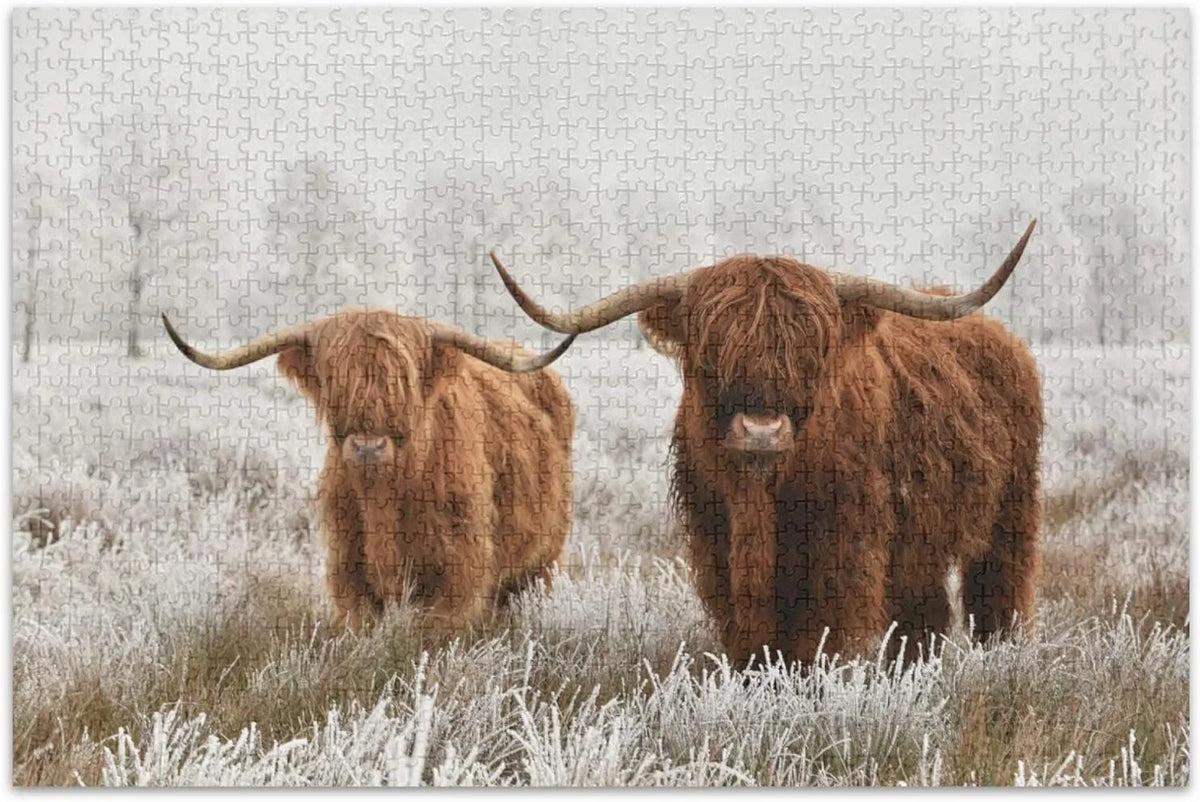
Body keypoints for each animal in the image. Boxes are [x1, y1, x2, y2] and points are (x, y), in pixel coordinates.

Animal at [163, 307, 576, 639]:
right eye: (336, 382)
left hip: (543, 560)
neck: (384, 498)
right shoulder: (349, 572)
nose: (367, 447)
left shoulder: (457, 579)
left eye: (403, 383)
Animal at [488, 220, 1042, 665]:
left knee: (998, 595)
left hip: (1011, 513)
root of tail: (1002, 338)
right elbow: (750, 639)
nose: (761, 431)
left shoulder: (844, 550)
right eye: (711, 349)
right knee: (924, 616)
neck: (762, 496)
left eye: (811, 349)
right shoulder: (716, 545)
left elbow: (820, 641)